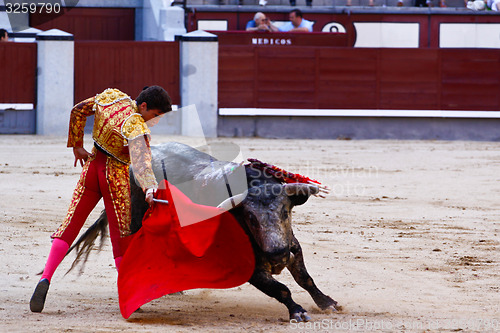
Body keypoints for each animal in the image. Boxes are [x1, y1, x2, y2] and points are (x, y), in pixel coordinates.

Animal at [68, 141, 338, 320]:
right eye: (250, 218)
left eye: (285, 212)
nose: (277, 256)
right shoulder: (249, 268)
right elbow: (280, 288)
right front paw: (298, 311)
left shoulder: (292, 244)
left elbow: (305, 278)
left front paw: (327, 302)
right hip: (133, 219)